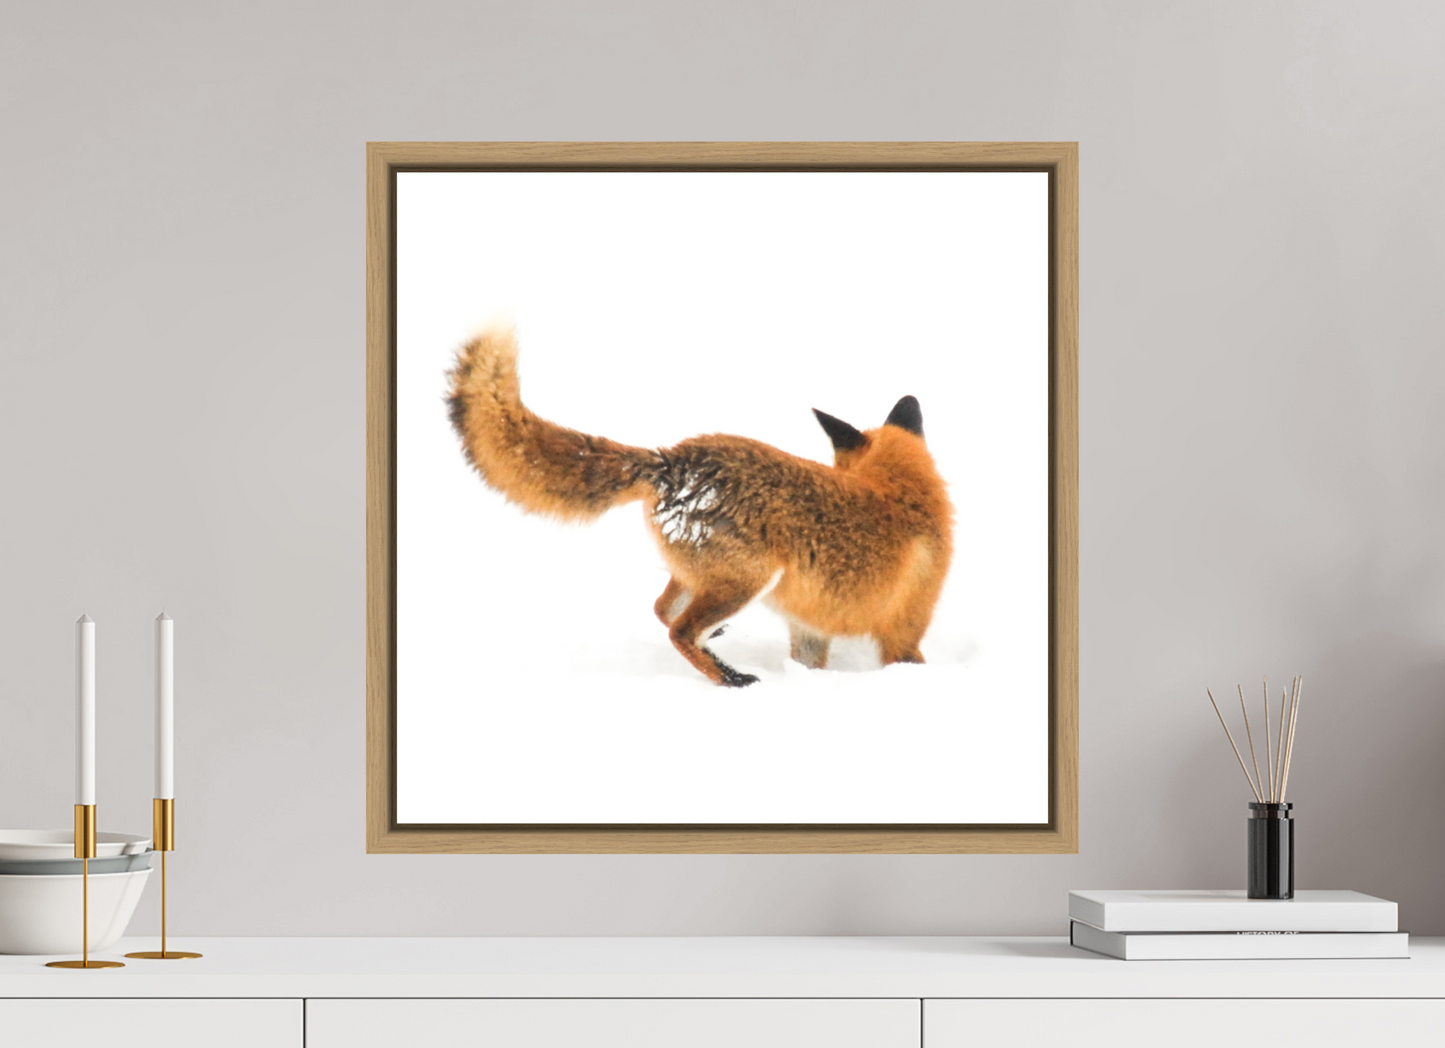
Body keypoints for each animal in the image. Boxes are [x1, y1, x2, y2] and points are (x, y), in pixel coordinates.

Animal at [446, 327, 954, 687]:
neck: (899, 488)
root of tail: (671, 459)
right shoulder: (904, 630)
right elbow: (908, 659)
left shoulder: (809, 629)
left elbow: (809, 664)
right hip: (747, 579)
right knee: (679, 631)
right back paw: (732, 679)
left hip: (701, 577)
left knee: (661, 609)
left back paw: (717, 649)